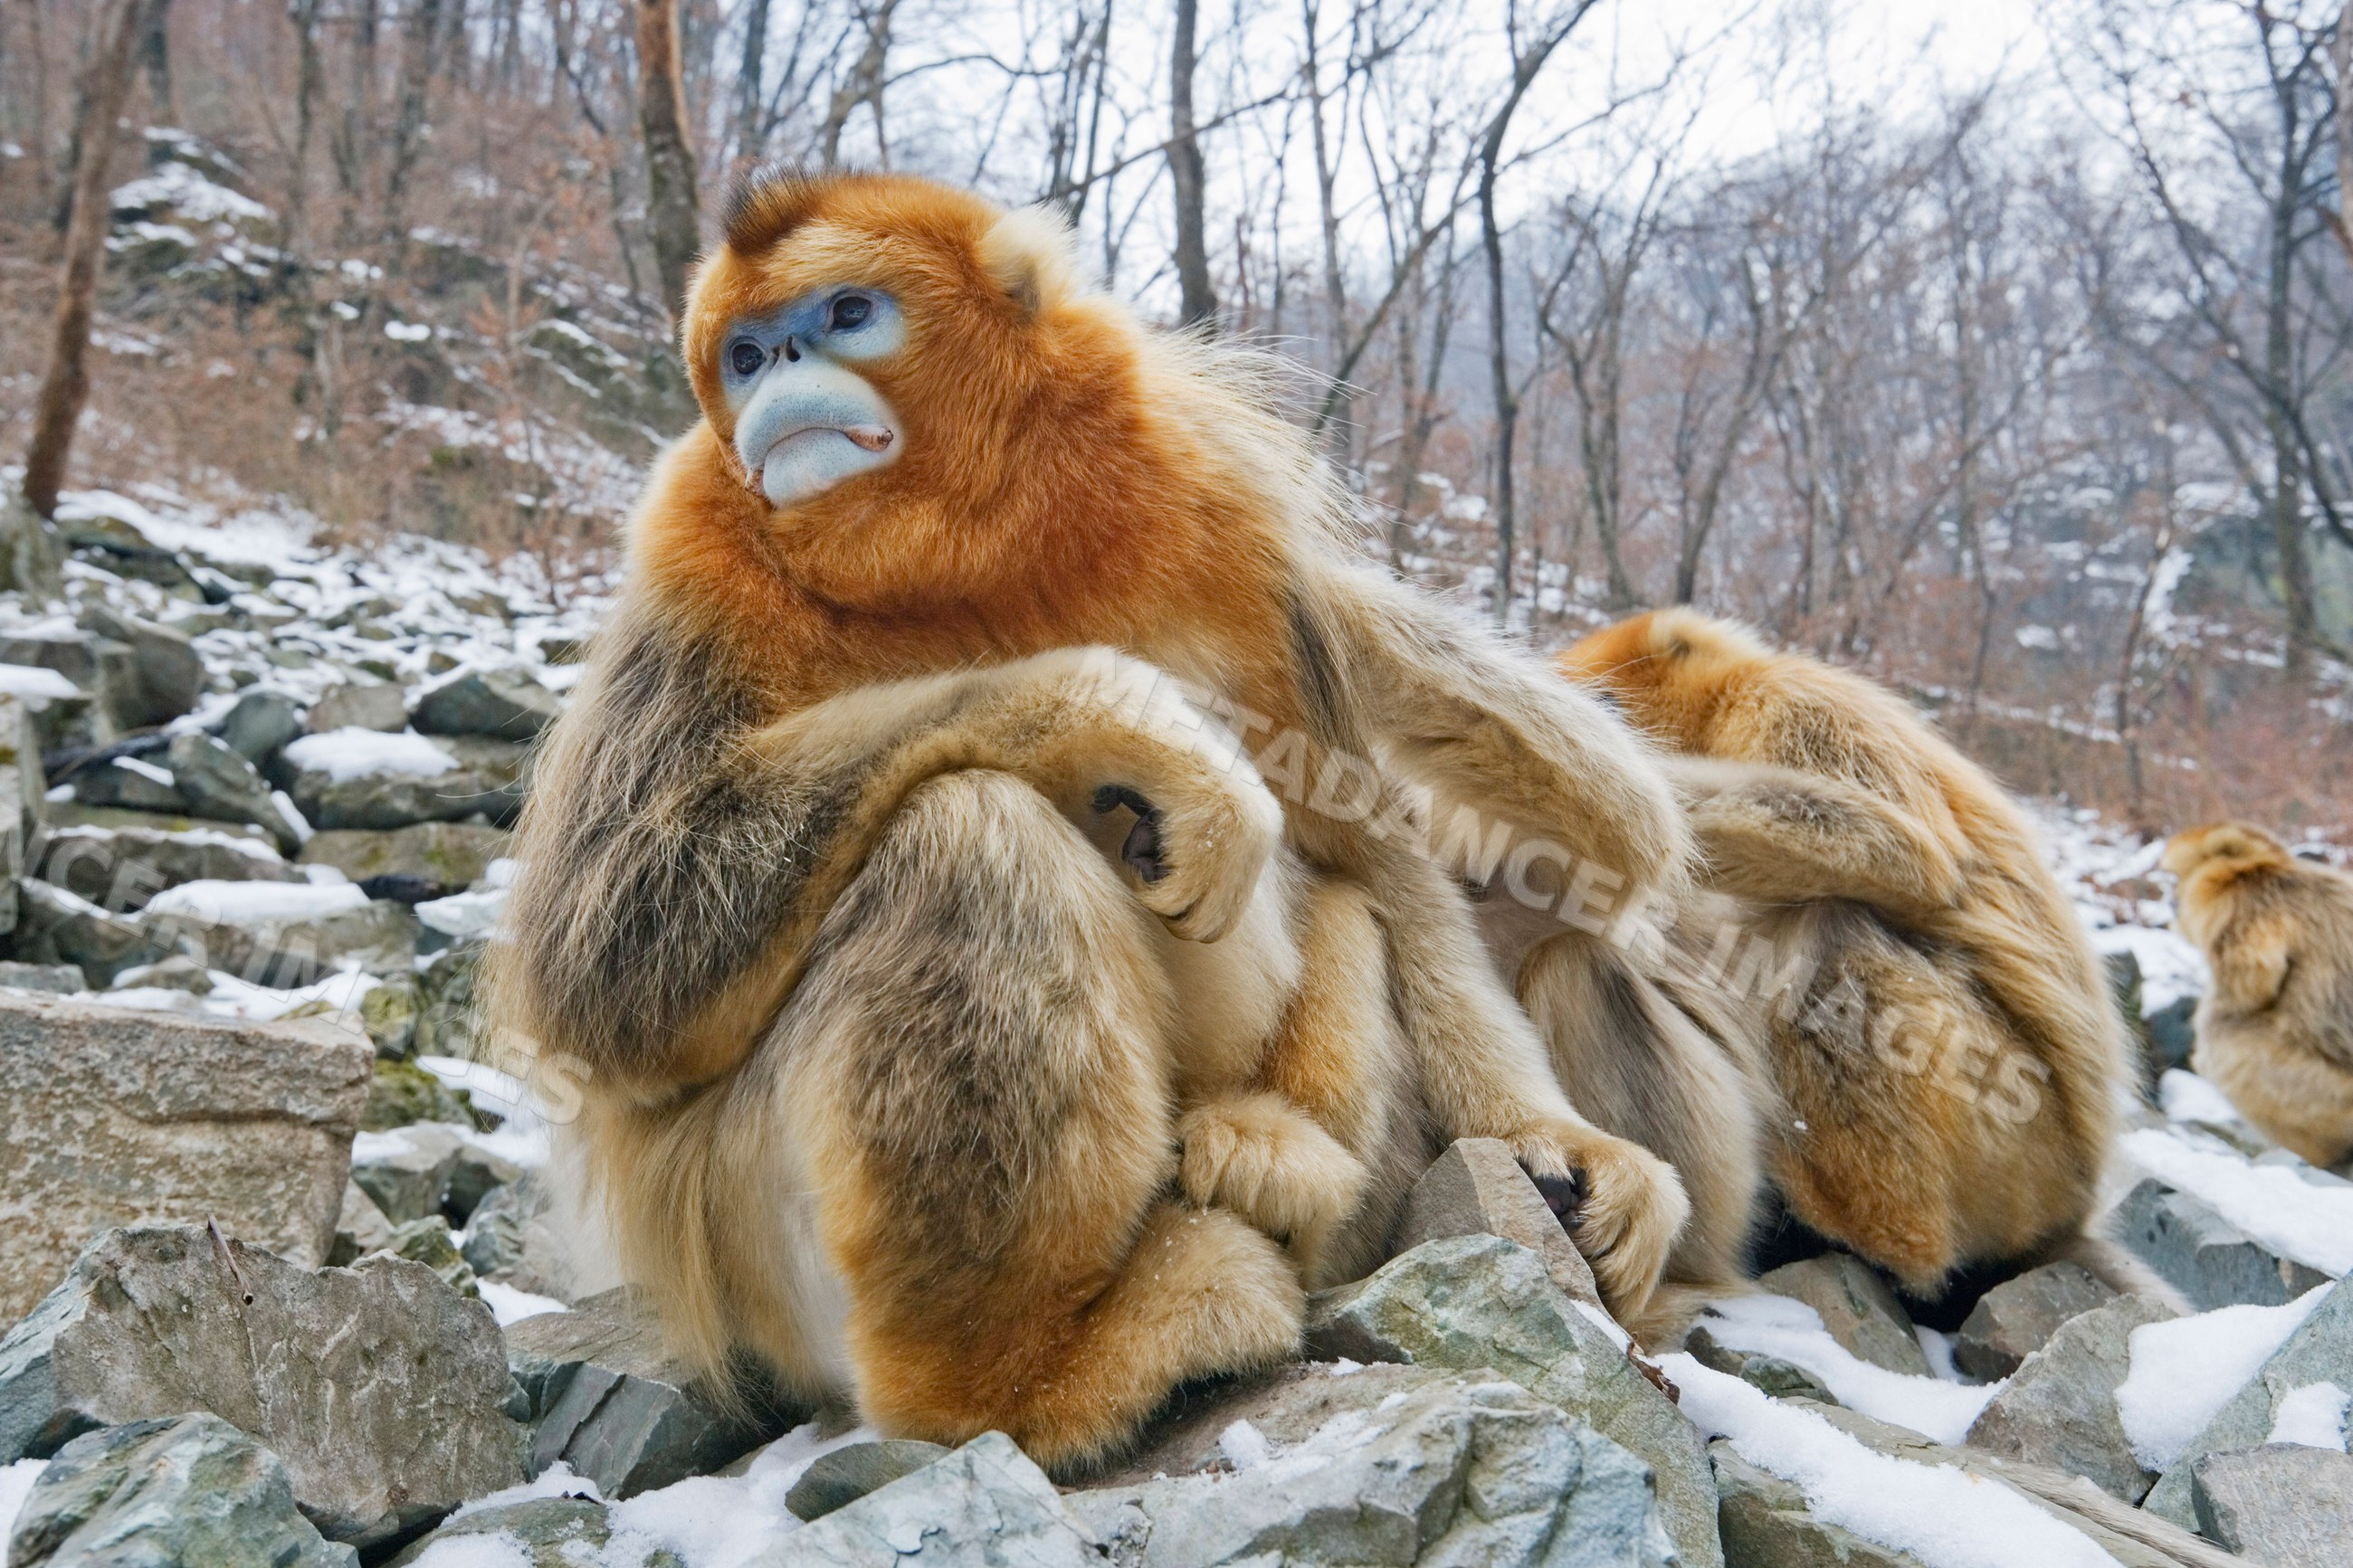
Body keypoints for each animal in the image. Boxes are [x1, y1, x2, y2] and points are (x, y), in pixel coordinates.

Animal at [487, 170, 1696, 1472]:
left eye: (847, 314)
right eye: (747, 355)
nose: (780, 373)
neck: (967, 553)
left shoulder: (1219, 511)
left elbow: (1372, 852)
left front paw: (1542, 1138)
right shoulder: (690, 541)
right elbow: (601, 957)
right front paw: (1115, 716)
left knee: (1336, 900)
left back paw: (1268, 1166)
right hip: (736, 1239)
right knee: (966, 832)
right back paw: (1023, 1380)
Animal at [1551, 609, 2132, 1302]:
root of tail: (2073, 1203)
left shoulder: (1792, 706)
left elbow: (1905, 854)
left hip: (2014, 1133)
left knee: (1836, 932)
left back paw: (1873, 1230)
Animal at [2163, 822, 2353, 1167]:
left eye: (2177, 881)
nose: (2171, 900)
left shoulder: (2247, 907)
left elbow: (2251, 983)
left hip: (2327, 1093)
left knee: (2223, 1038)